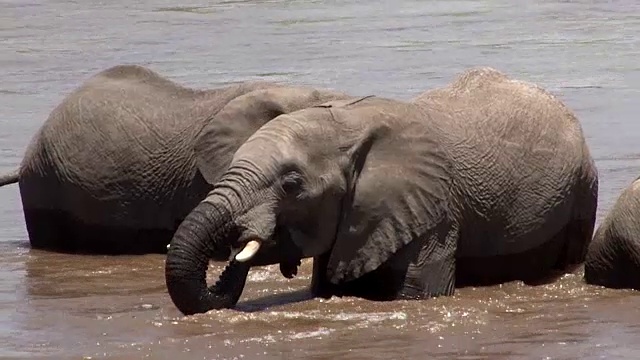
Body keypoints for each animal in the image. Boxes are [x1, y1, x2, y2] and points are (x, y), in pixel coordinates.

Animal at [164, 67, 600, 316]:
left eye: (291, 185)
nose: (241, 239)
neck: (347, 123)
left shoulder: (435, 212)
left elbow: (418, 294)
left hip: (584, 188)